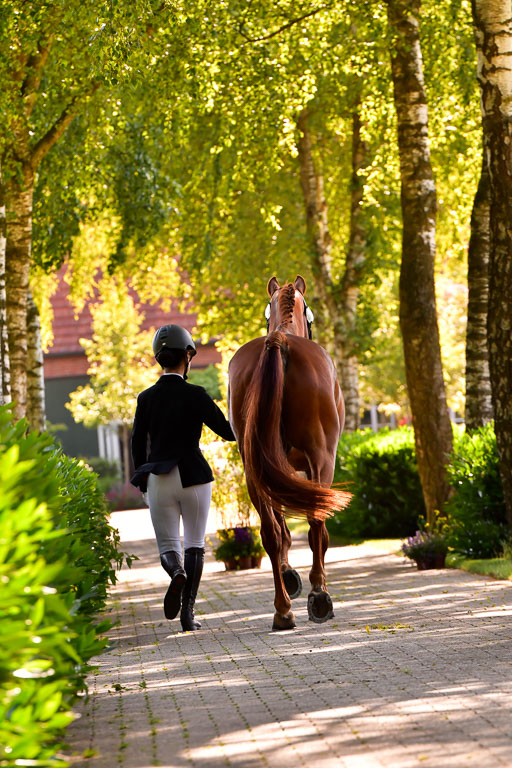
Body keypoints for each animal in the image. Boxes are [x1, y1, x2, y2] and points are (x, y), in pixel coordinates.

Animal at [228, 275, 351, 630]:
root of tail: (280, 341)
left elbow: (281, 527)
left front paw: (288, 575)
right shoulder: (313, 464)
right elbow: (317, 531)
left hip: (254, 467)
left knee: (269, 532)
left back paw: (282, 610)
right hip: (321, 458)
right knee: (316, 523)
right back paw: (319, 596)